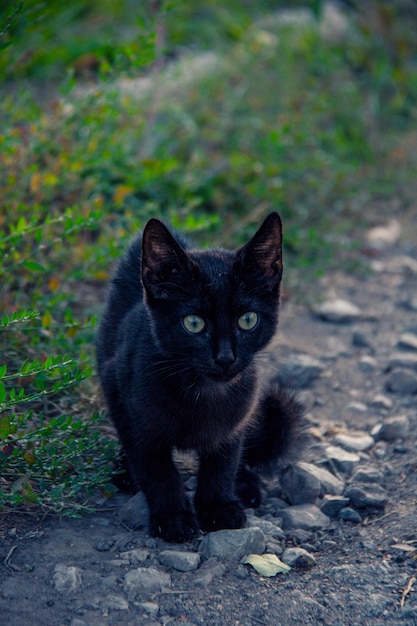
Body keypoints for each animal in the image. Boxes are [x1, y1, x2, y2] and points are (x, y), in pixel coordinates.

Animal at [96, 212, 300, 540]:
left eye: (247, 320)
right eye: (193, 323)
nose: (226, 358)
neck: (202, 392)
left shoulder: (236, 418)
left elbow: (222, 463)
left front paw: (218, 507)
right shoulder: (124, 400)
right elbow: (157, 469)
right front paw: (173, 517)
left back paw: (245, 485)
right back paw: (125, 473)